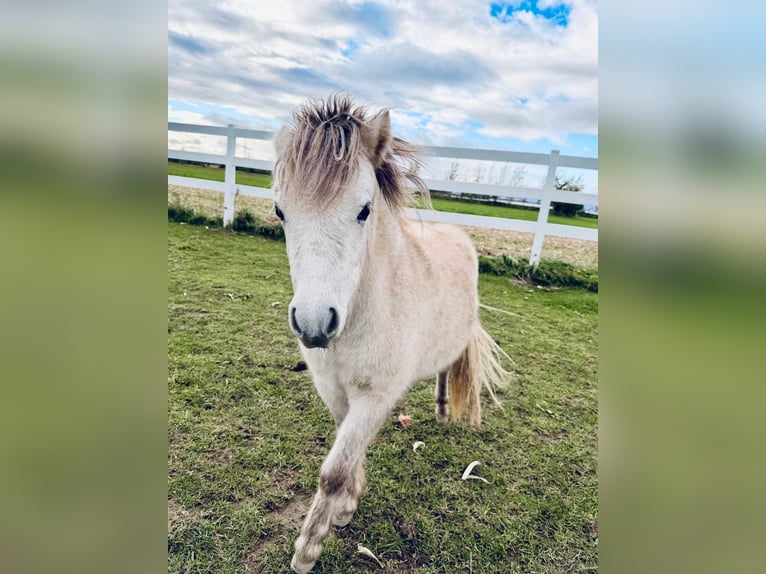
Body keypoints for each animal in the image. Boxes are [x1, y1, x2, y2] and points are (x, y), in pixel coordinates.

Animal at [272, 94, 509, 573]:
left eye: (364, 210)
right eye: (280, 211)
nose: (314, 323)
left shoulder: (375, 396)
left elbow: (333, 472)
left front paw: (307, 550)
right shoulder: (335, 391)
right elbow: (348, 452)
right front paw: (346, 509)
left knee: (453, 367)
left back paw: (450, 412)